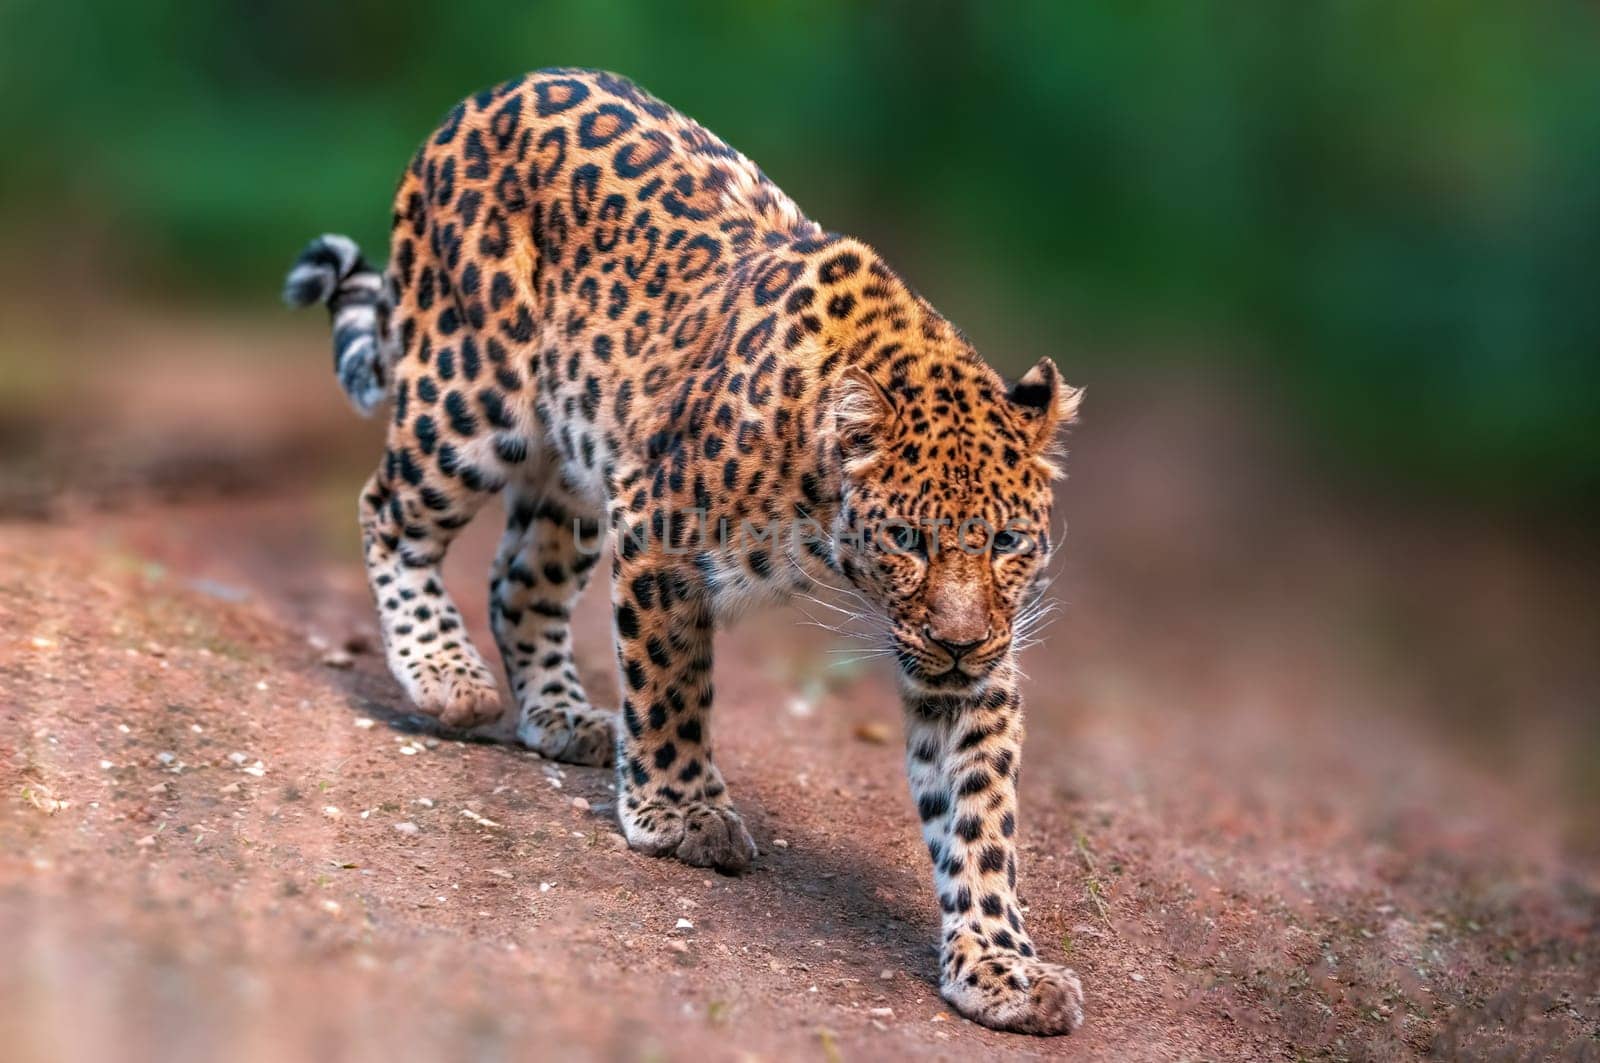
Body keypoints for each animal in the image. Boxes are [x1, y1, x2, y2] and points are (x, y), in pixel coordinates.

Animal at [284, 66, 1088, 1030]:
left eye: (1007, 541)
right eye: (906, 538)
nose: (962, 642)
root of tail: (479, 98)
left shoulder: (973, 660)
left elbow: (978, 811)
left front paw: (998, 964)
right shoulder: (657, 533)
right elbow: (671, 687)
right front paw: (679, 813)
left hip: (575, 465)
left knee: (519, 582)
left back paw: (563, 715)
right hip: (471, 399)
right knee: (388, 513)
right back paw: (446, 674)